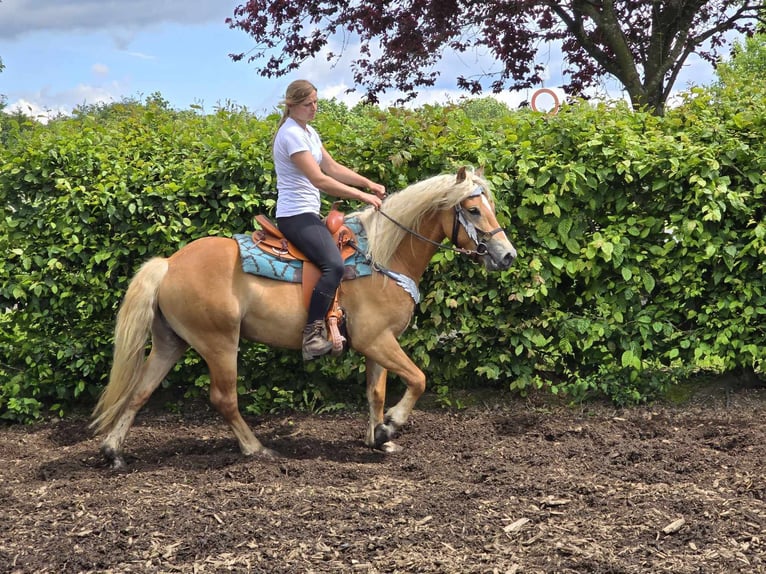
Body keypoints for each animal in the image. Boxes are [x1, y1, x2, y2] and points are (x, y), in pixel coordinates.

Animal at [93, 165, 520, 468]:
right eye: (473, 210)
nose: (507, 256)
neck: (382, 257)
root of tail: (169, 264)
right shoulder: (376, 340)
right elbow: (418, 379)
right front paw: (391, 426)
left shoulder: (378, 344)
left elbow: (376, 392)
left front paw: (377, 438)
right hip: (219, 343)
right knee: (224, 398)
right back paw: (256, 449)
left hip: (172, 342)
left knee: (140, 391)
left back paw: (113, 450)